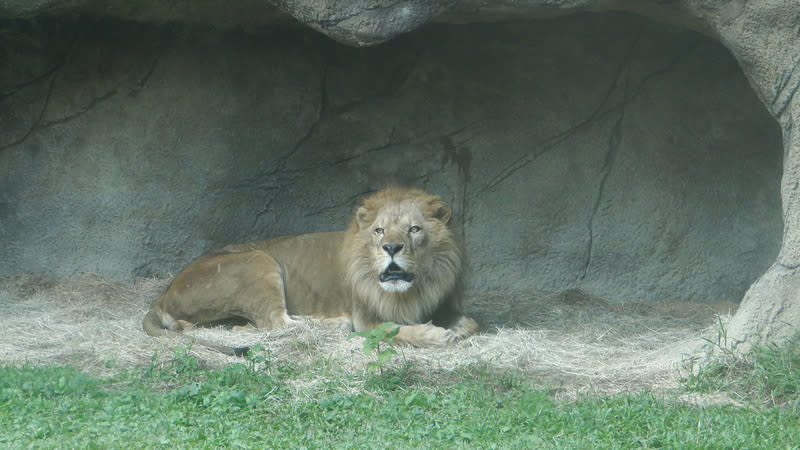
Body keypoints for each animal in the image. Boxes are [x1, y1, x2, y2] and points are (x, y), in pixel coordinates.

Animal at [141, 186, 478, 356]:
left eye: (414, 229)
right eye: (379, 231)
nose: (392, 248)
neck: (414, 288)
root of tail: (164, 294)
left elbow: (471, 323)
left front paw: (456, 328)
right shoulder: (365, 319)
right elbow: (393, 329)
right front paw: (435, 335)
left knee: (254, 326)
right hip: (258, 260)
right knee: (277, 322)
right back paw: (333, 324)